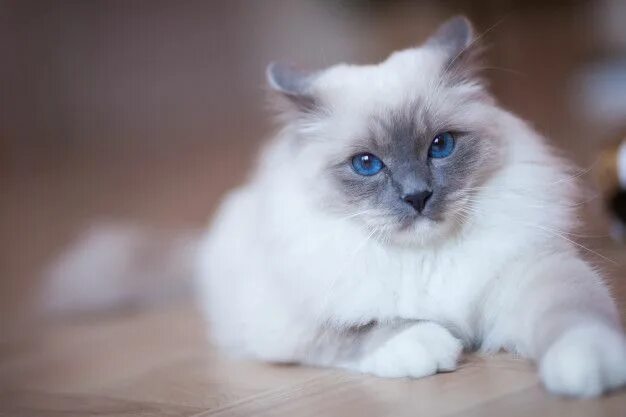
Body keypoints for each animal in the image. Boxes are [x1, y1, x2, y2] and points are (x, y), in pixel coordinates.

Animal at [195, 14, 624, 394]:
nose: (417, 196)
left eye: (441, 145)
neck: (426, 257)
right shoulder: (287, 319)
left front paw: (587, 367)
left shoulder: (533, 272)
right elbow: (358, 328)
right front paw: (428, 346)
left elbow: (575, 318)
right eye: (366, 164)